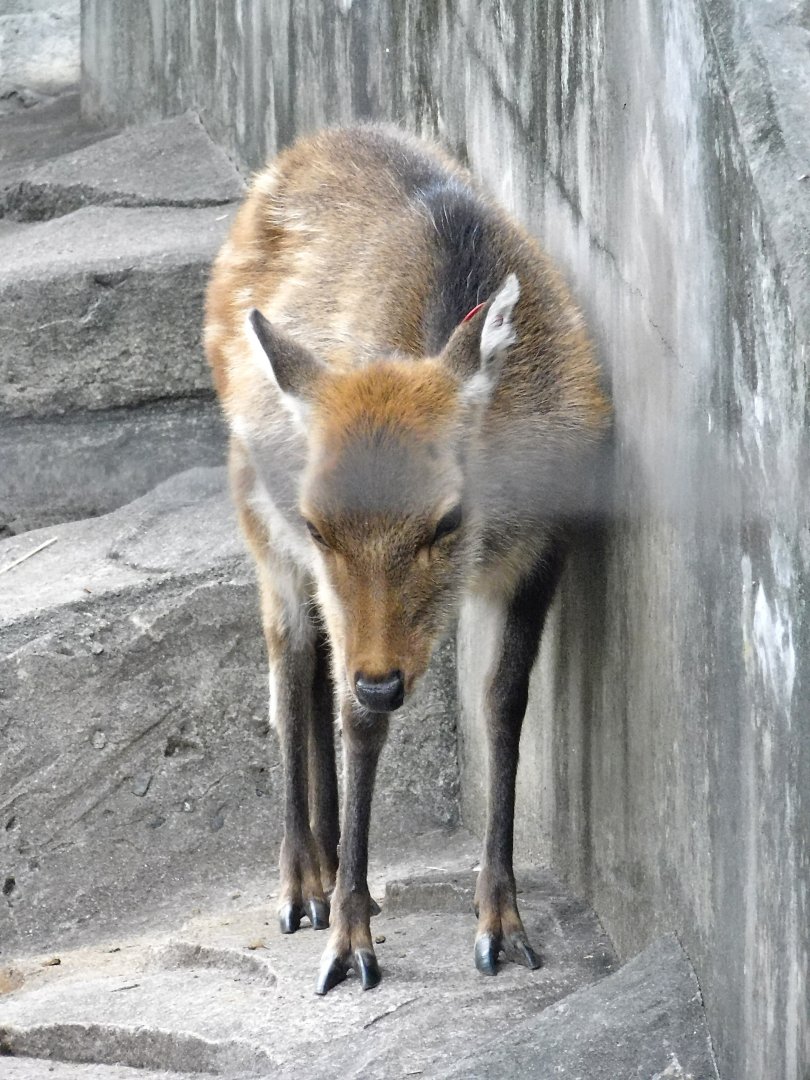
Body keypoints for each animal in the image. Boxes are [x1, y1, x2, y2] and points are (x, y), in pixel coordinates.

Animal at [204, 124, 609, 995]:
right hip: (257, 521)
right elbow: (356, 723)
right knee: (291, 670)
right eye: (321, 523)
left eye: (447, 518)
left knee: (317, 673)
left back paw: (327, 865)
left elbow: (502, 703)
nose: (385, 680)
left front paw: (502, 927)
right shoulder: (321, 568)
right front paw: (349, 944)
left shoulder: (547, 548)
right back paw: (303, 885)